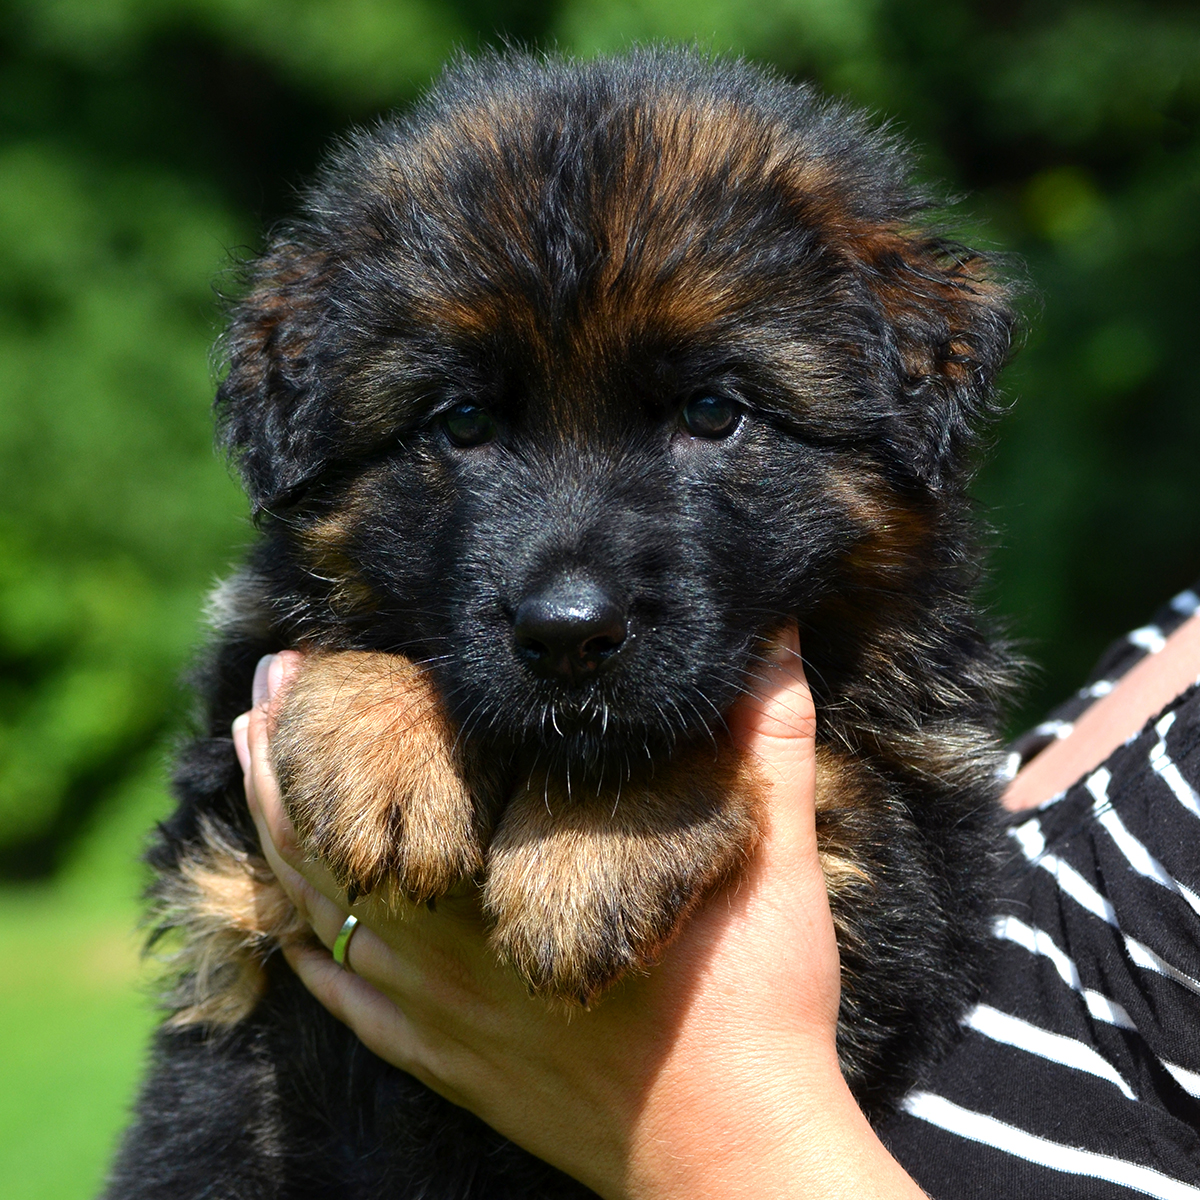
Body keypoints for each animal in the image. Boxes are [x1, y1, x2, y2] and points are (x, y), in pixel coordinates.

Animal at [104, 49, 1016, 1199]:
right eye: (461, 422)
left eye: (712, 413)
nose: (567, 633)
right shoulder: (226, 865)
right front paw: (380, 748)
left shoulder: (913, 894)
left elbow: (750, 751)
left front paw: (598, 843)